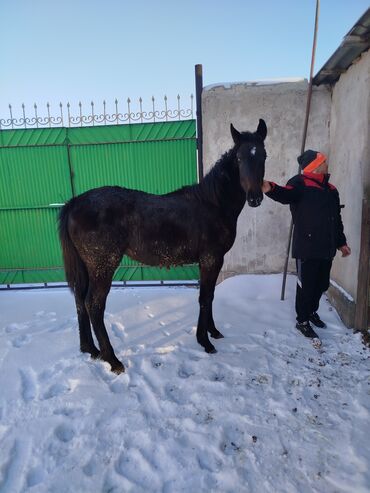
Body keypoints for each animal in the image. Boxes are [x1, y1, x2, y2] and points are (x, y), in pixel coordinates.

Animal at [58, 120, 266, 372]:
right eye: (239, 158)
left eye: (263, 156)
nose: (255, 198)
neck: (213, 203)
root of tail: (74, 203)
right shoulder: (211, 258)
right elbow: (205, 297)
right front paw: (205, 341)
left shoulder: (210, 262)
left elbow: (210, 295)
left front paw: (213, 332)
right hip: (103, 266)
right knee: (94, 305)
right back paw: (113, 360)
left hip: (87, 267)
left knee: (80, 300)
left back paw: (91, 350)